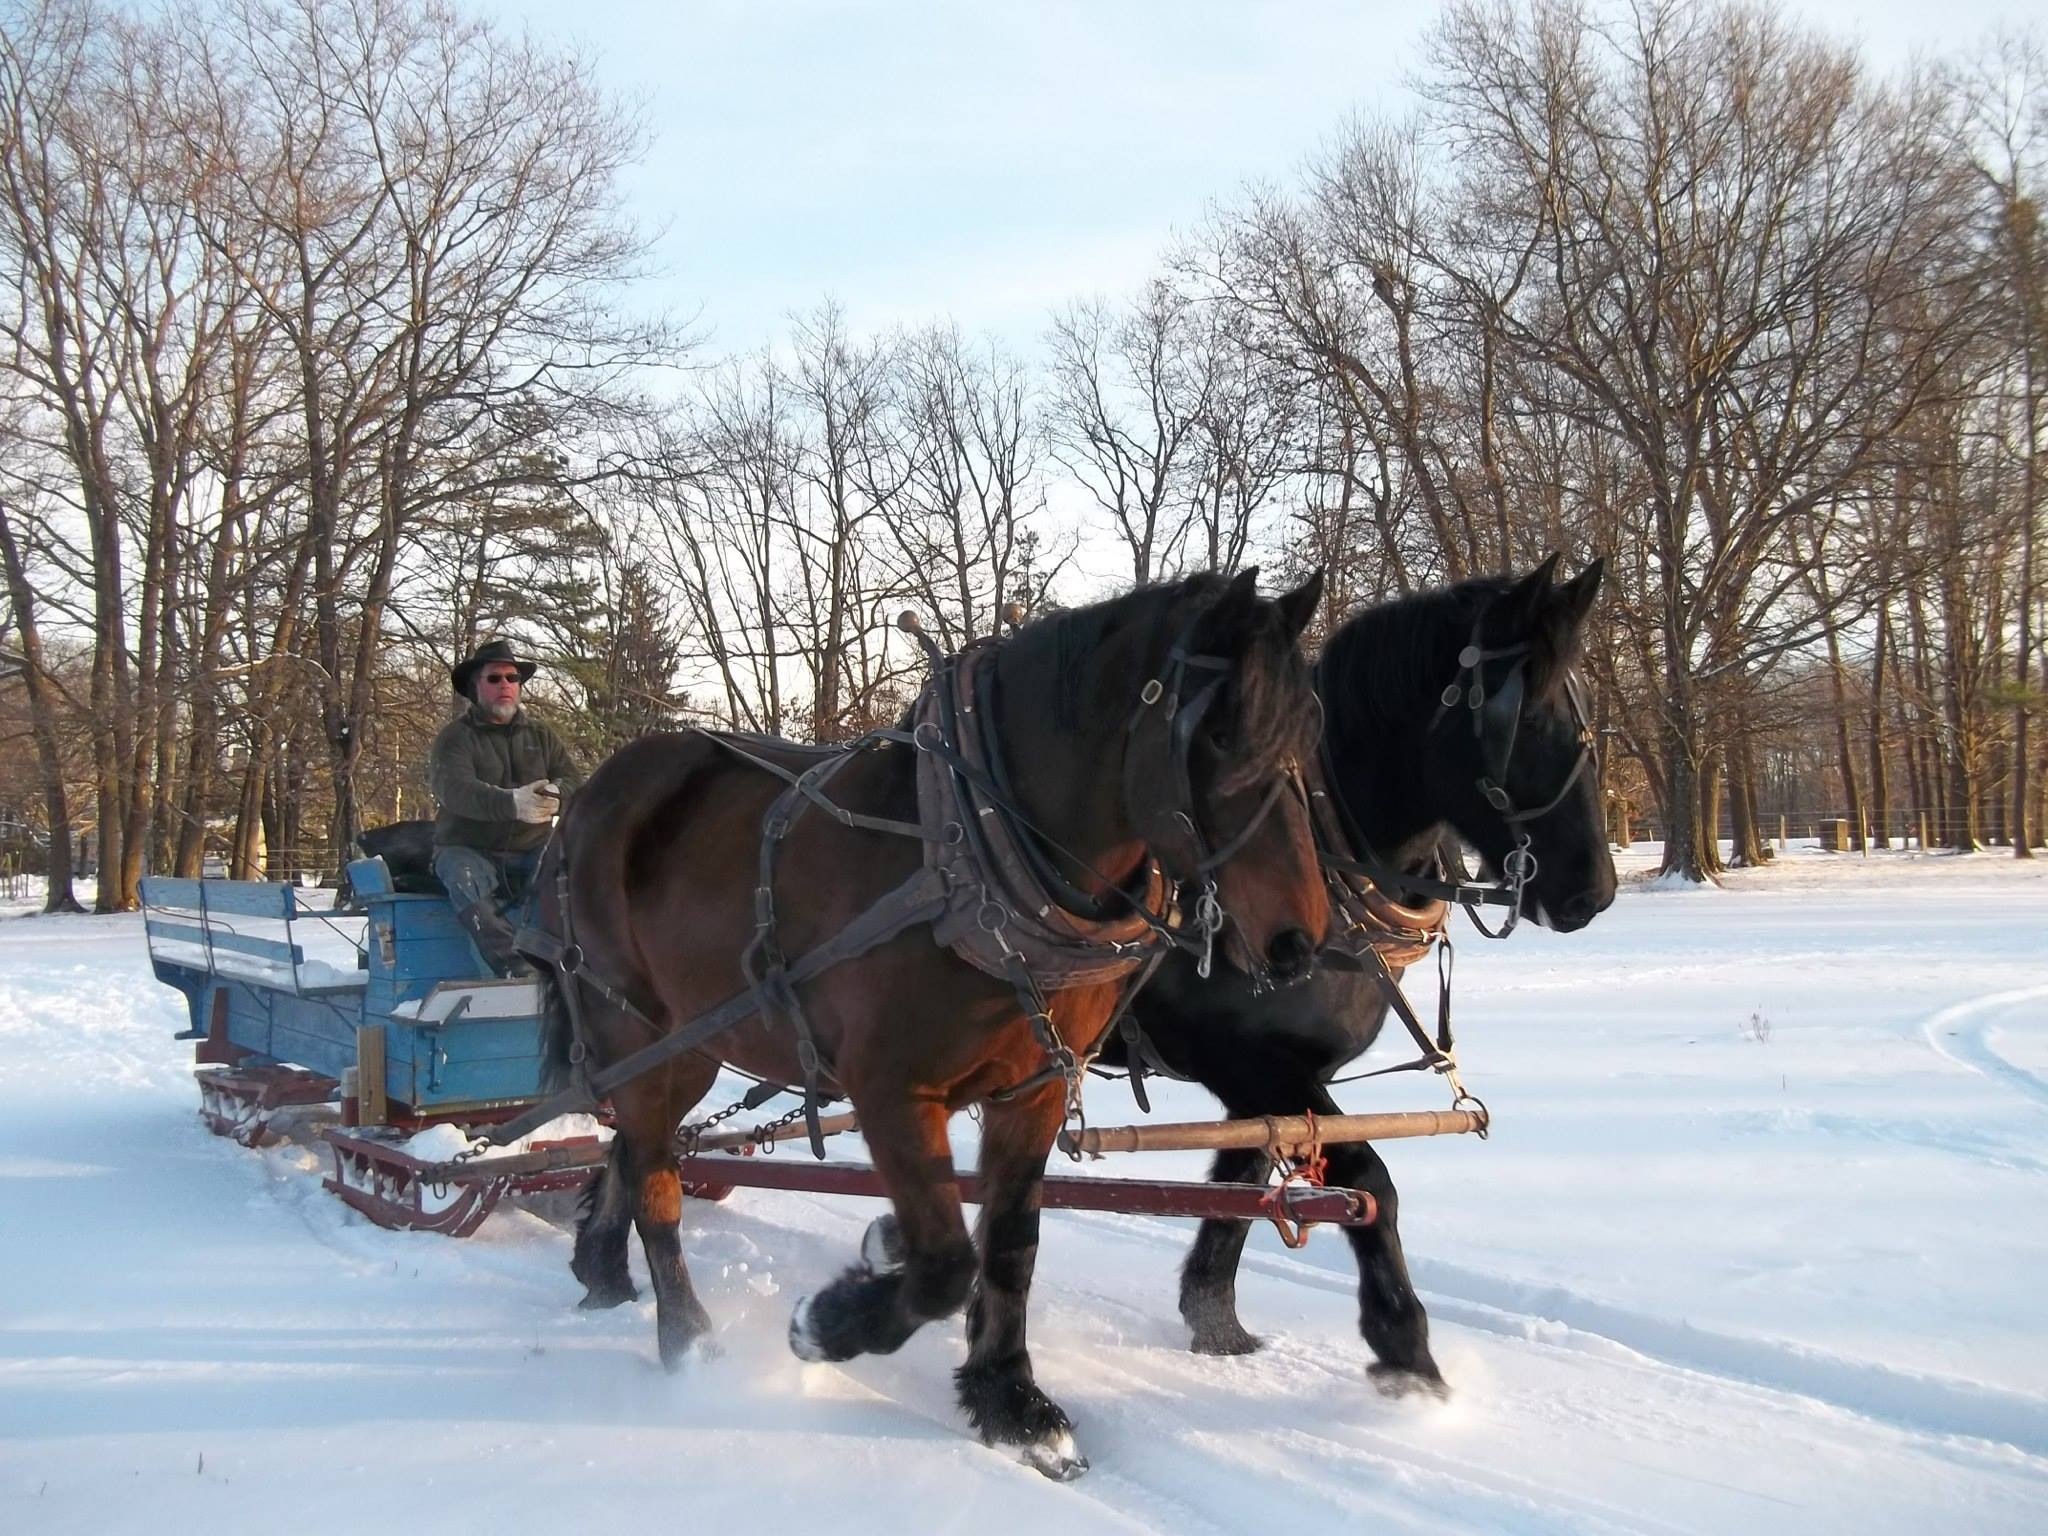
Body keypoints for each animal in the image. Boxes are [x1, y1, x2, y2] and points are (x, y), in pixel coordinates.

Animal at [532, 573, 1327, 1482]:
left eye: (1310, 732)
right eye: (1221, 734)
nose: (1298, 942)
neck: (976, 853)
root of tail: (586, 797)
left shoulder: (1035, 1089)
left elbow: (1010, 1246)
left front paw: (1013, 1403)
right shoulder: (891, 1091)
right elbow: (948, 1263)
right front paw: (828, 1323)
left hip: (690, 1044)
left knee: (635, 1150)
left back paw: (602, 1270)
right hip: (631, 1031)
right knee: (657, 1180)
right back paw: (688, 1343)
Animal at [1105, 552, 1613, 1392]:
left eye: (1586, 714)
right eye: (1530, 719)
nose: (1594, 891)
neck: (1319, 855)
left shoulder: (1274, 1075)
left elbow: (1243, 1181)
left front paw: (1215, 1322)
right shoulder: (1243, 1059)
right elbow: (1370, 1182)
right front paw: (1404, 1347)